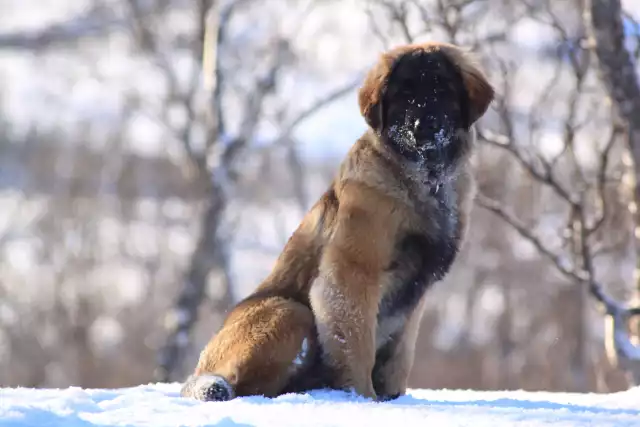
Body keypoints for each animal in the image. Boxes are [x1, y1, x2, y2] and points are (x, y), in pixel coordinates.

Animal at [180, 41, 496, 402]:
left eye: (442, 90)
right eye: (403, 94)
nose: (422, 126)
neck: (424, 181)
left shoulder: (415, 297)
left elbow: (398, 358)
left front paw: (393, 397)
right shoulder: (351, 277)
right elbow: (356, 346)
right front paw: (363, 399)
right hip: (290, 312)